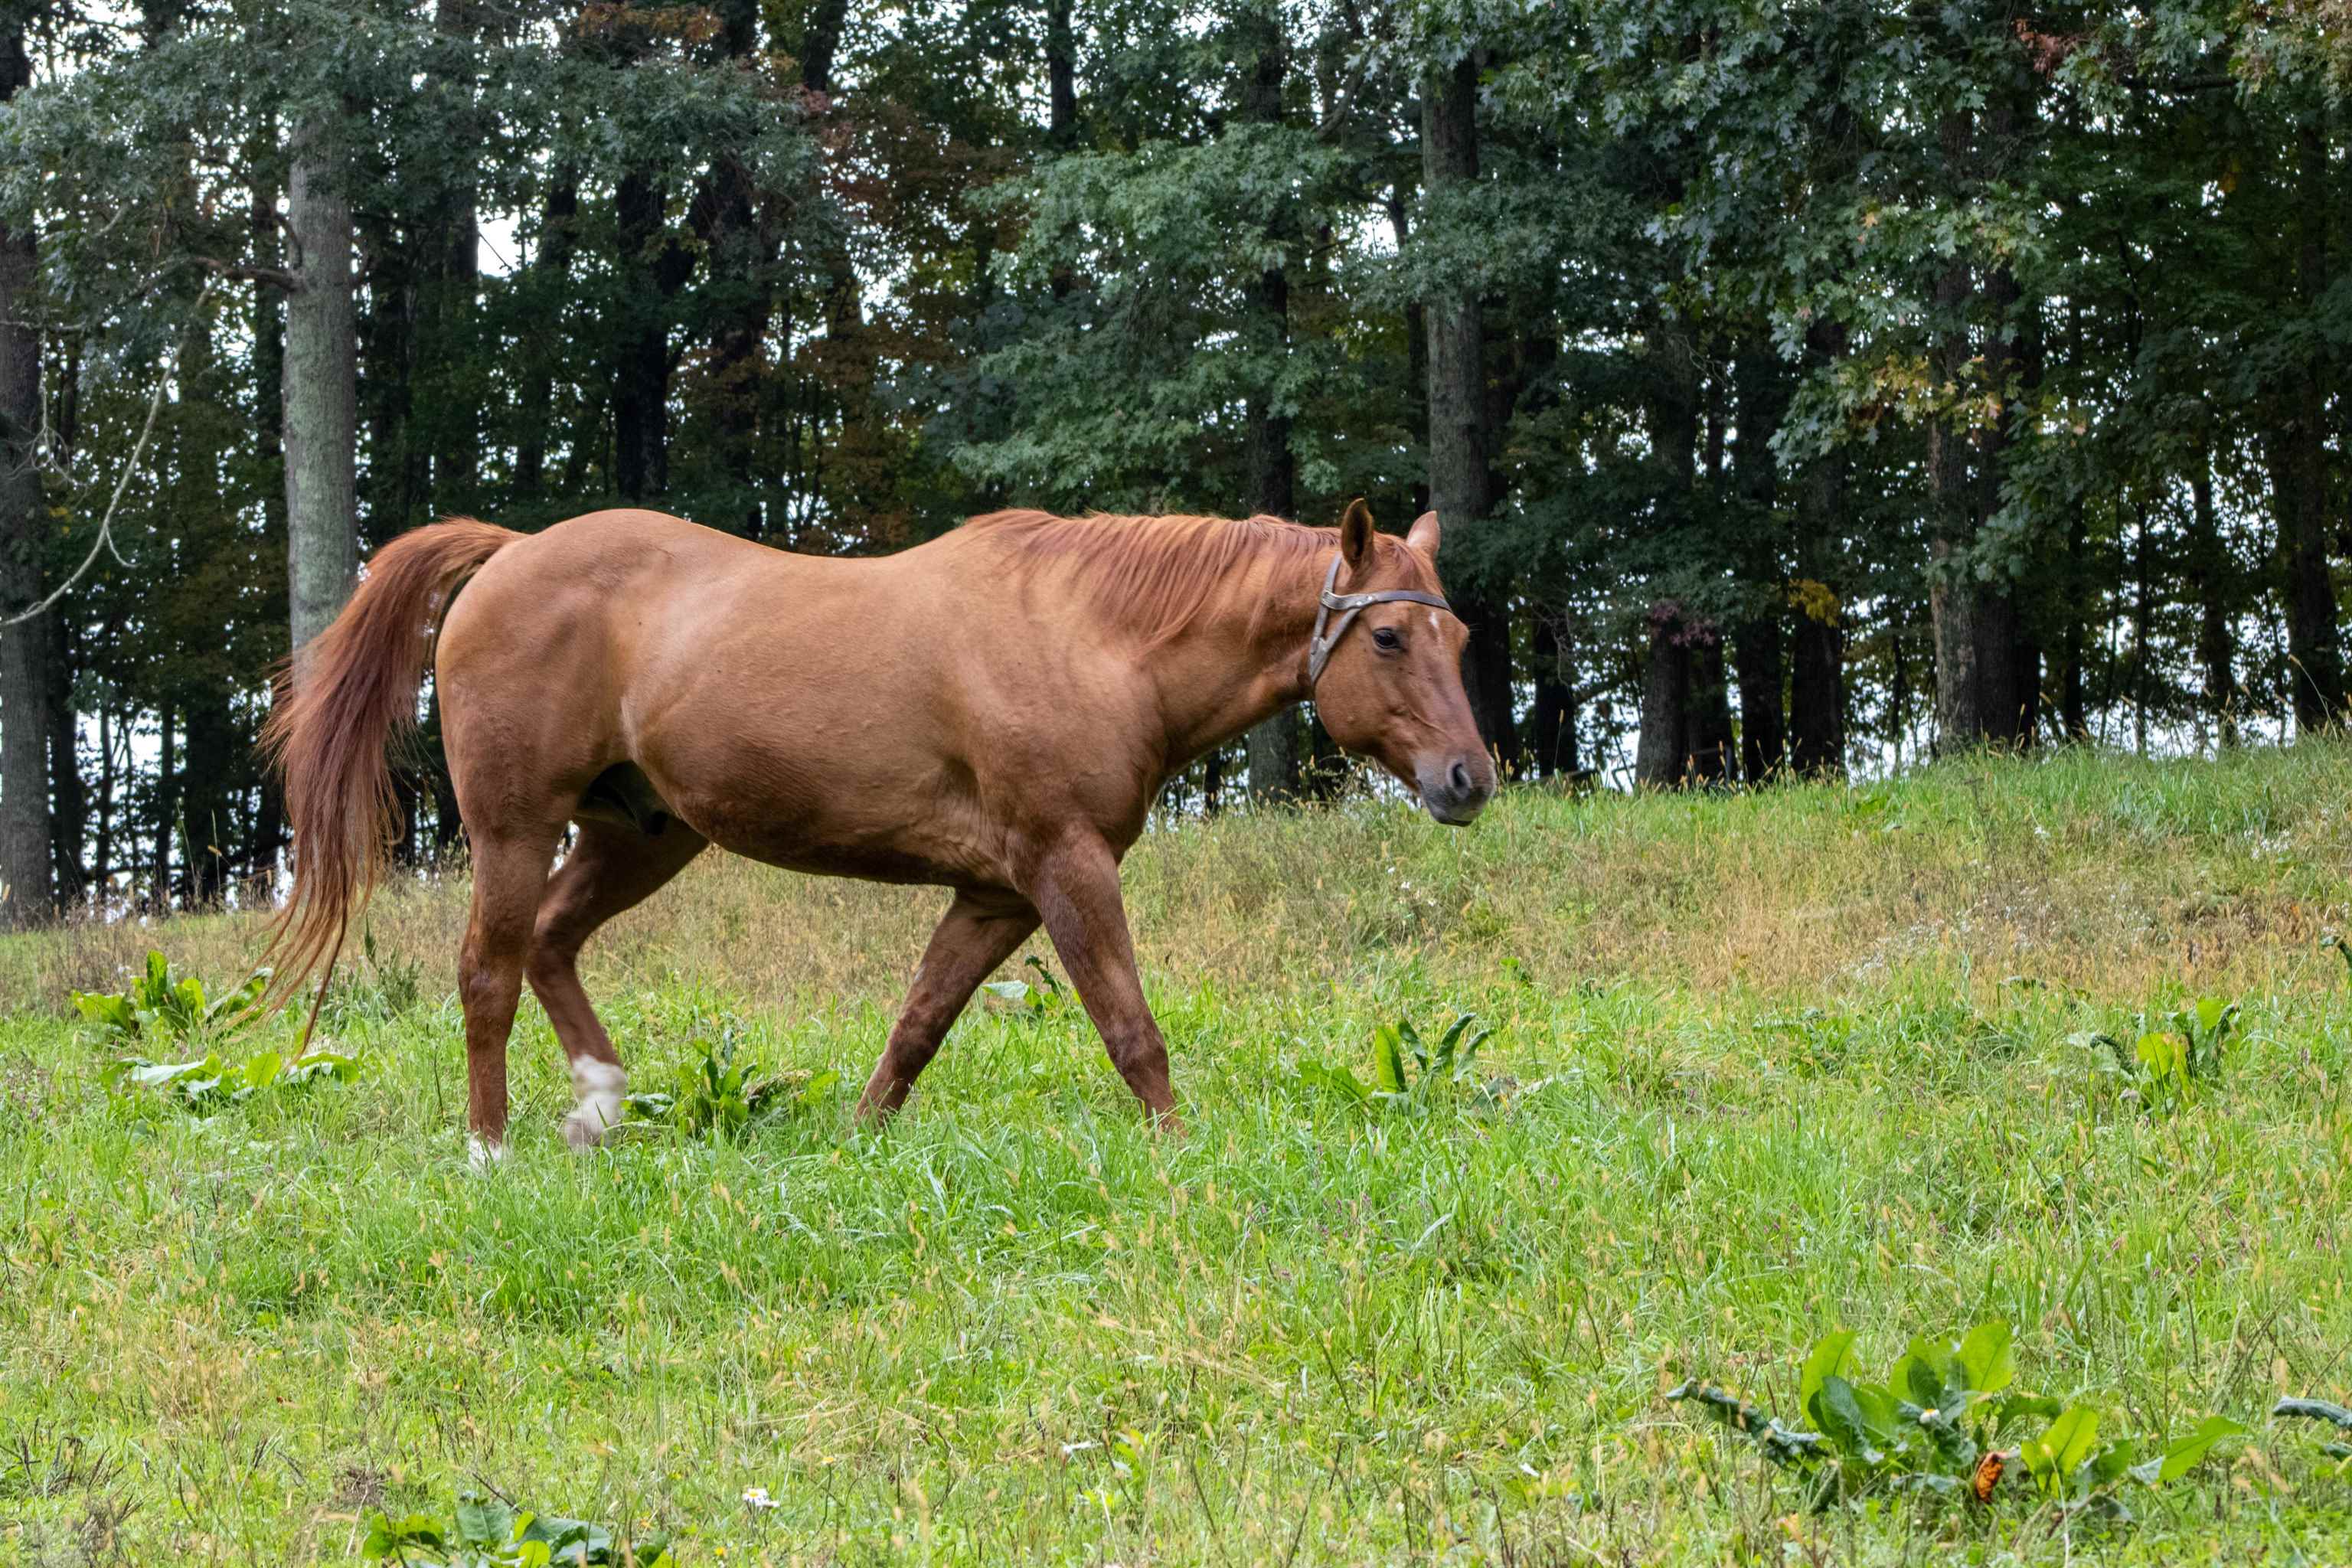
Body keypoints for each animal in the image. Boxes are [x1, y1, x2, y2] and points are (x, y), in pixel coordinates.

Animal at [266, 501, 1495, 1152]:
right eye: (1390, 637)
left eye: (1464, 639)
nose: (1469, 778)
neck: (1093, 637)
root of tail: (511, 550)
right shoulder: (1065, 867)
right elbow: (1130, 1028)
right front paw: (1180, 1152)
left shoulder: (995, 894)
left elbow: (917, 1025)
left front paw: (860, 1139)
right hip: (516, 827)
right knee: (489, 969)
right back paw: (491, 1146)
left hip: (645, 832)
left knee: (554, 945)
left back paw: (601, 1101)